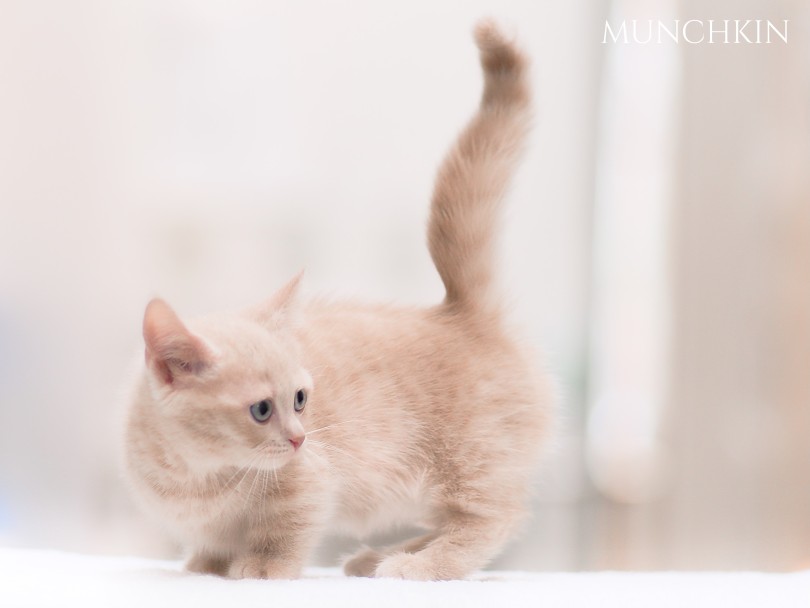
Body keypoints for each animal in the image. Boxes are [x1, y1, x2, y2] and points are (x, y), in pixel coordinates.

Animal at [123, 17, 552, 580]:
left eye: (301, 399)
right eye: (262, 409)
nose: (299, 437)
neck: (198, 478)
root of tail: (462, 309)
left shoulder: (308, 480)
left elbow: (283, 531)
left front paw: (259, 568)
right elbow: (211, 543)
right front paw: (205, 565)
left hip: (471, 460)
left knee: (490, 520)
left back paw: (416, 565)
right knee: (453, 520)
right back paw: (378, 556)